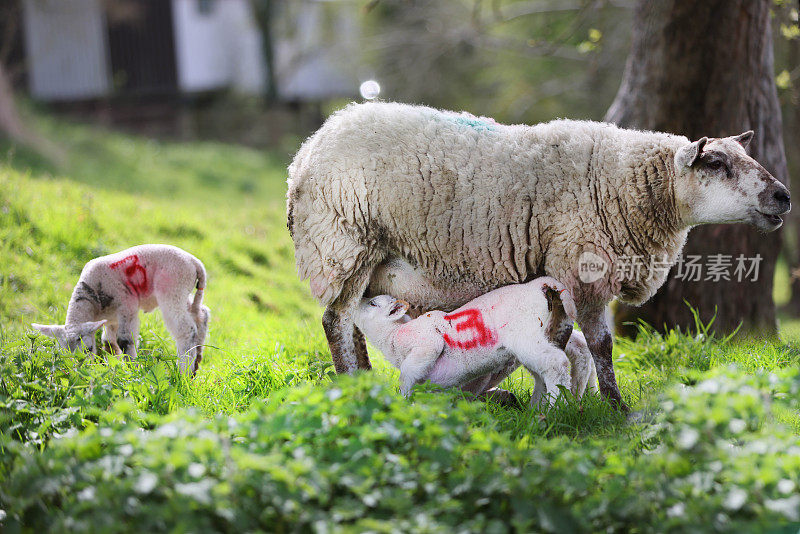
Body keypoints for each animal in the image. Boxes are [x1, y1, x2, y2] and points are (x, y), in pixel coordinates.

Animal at [33, 244, 211, 376]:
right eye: (64, 353)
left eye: (88, 349)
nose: (80, 372)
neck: (92, 299)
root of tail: (195, 263)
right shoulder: (110, 318)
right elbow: (109, 342)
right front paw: (115, 367)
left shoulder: (127, 304)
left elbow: (124, 340)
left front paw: (132, 370)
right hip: (182, 292)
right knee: (201, 314)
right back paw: (196, 361)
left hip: (173, 286)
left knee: (186, 329)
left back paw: (184, 372)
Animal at [354, 276, 596, 406]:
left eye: (373, 303)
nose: (356, 301)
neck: (391, 335)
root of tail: (537, 284)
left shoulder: (426, 343)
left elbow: (406, 376)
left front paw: (402, 401)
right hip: (548, 330)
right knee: (557, 364)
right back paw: (545, 406)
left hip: (524, 334)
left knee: (556, 363)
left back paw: (555, 407)